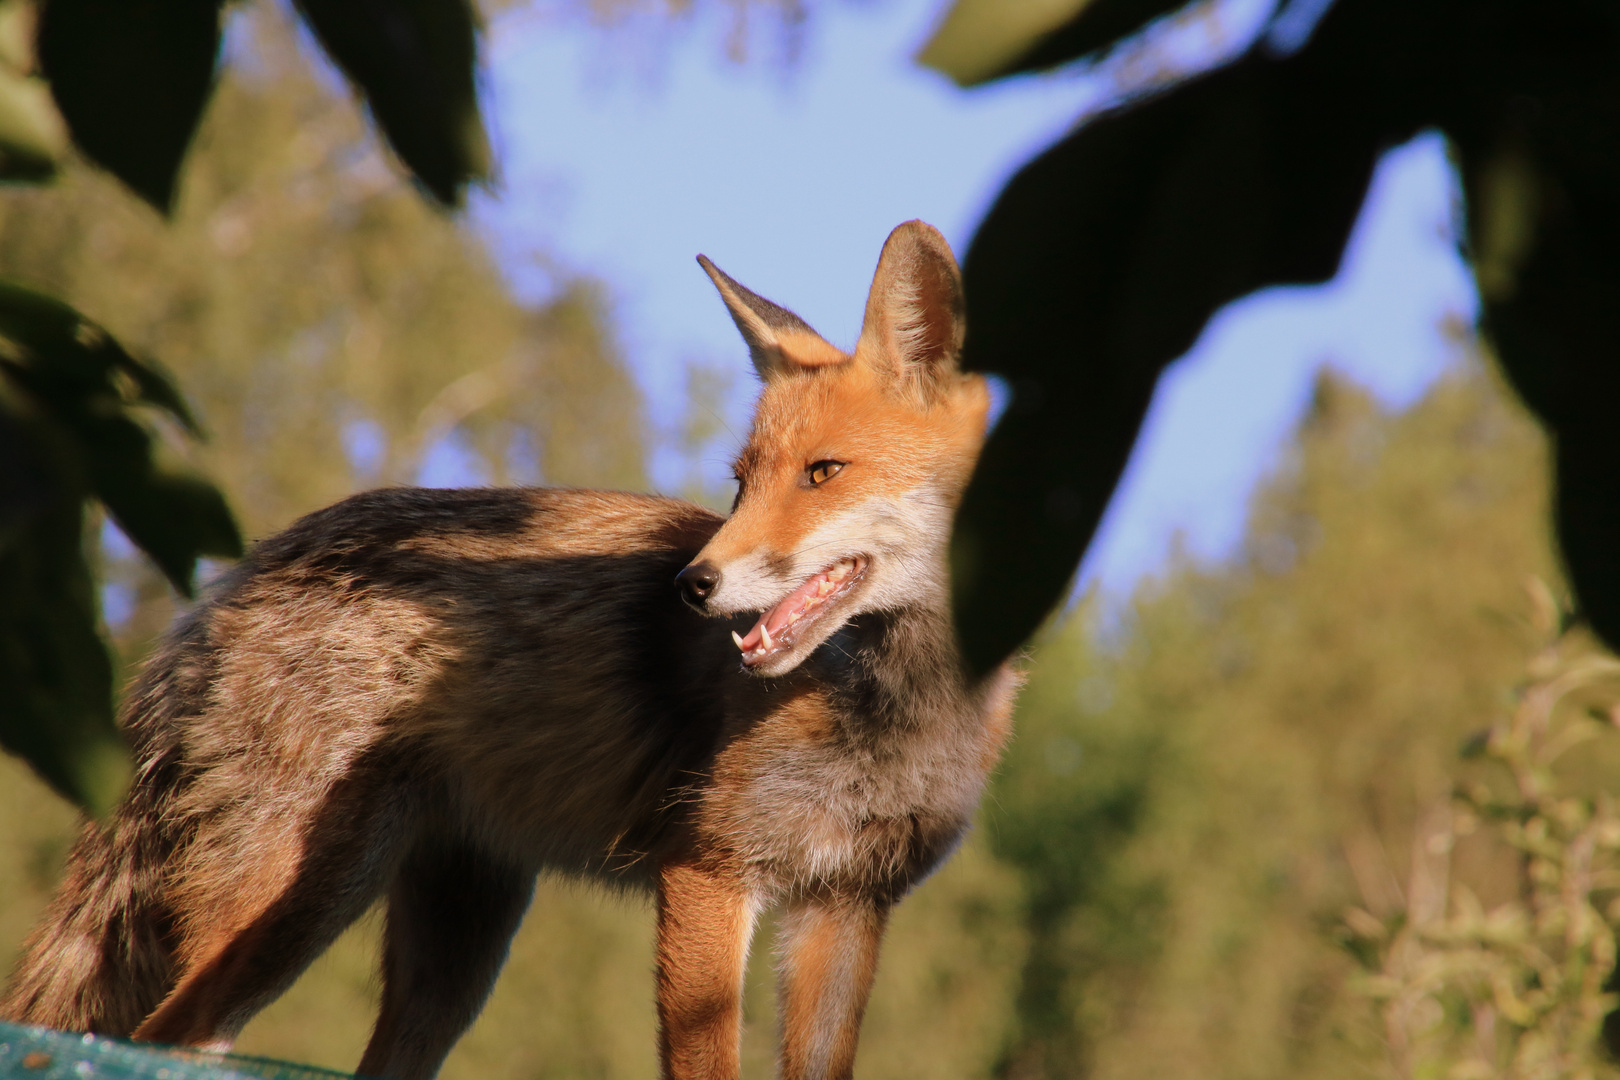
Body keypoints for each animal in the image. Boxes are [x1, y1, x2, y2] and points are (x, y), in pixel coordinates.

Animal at [6, 221, 1023, 1080]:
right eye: (742, 484)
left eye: (823, 474)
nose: (690, 586)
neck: (892, 720)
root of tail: (242, 571)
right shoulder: (709, 871)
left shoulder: (847, 907)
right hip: (300, 902)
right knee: (160, 1036)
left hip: (456, 952)